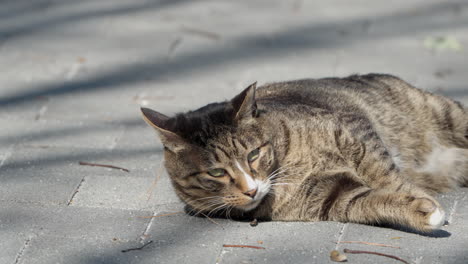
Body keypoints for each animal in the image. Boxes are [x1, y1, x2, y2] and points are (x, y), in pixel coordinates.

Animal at [143, 73, 468, 231]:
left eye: (253, 155)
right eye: (216, 172)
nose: (251, 190)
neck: (285, 161)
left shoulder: (353, 131)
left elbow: (383, 173)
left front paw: (417, 196)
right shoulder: (330, 196)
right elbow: (368, 201)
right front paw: (420, 209)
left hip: (447, 114)